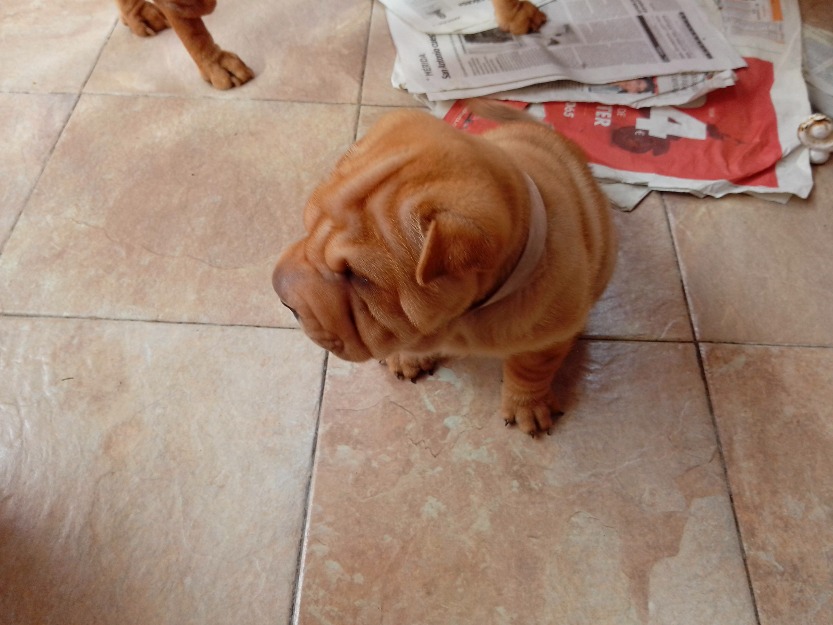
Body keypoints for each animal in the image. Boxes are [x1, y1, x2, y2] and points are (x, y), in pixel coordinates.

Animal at [274, 107, 616, 436]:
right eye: (309, 225)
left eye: (359, 277)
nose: (283, 299)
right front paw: (408, 357)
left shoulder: (549, 334)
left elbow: (530, 368)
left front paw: (527, 406)